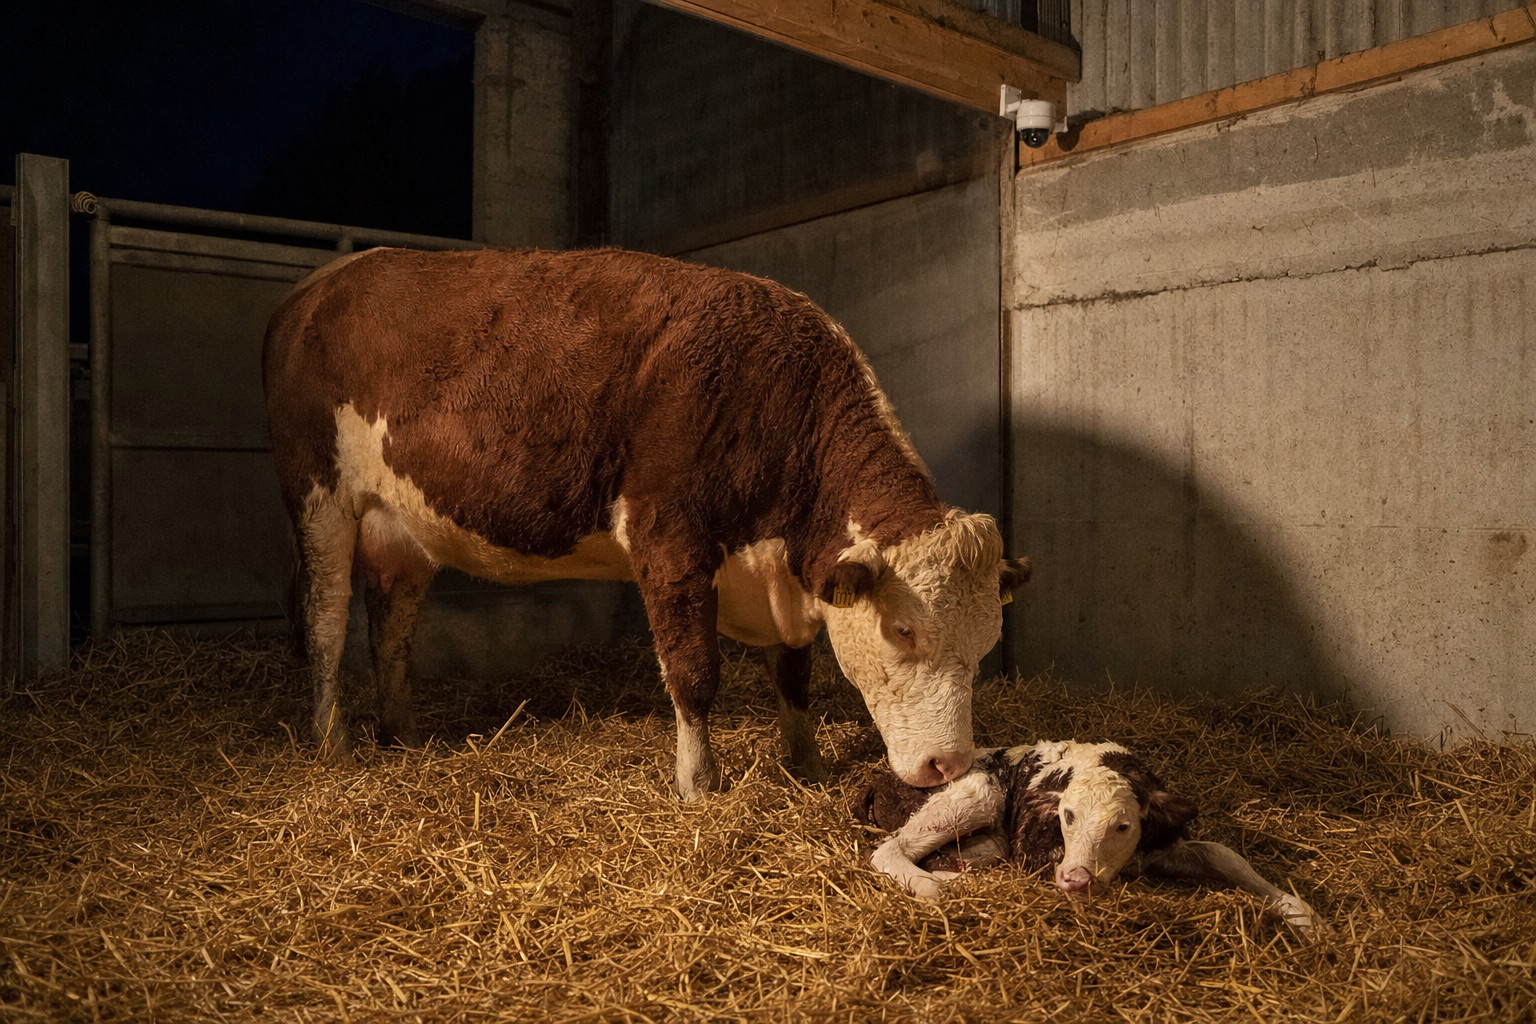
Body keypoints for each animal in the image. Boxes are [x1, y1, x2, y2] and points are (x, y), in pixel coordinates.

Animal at [262, 247, 1031, 801]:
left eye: (987, 642)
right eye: (903, 631)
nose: (949, 765)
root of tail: (320, 285)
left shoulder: (782, 574)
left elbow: (793, 673)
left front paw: (806, 763)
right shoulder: (670, 539)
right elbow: (693, 673)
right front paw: (699, 783)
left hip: (401, 533)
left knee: (389, 631)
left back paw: (401, 735)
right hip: (317, 495)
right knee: (326, 621)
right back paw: (332, 743)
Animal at [857, 740, 1324, 936]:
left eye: (1123, 826)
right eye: (1067, 815)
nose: (1075, 878)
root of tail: (882, 778)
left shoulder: (1163, 841)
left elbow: (1223, 854)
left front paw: (1303, 916)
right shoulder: (1037, 853)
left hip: (990, 839)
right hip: (977, 793)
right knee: (888, 850)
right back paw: (935, 888)